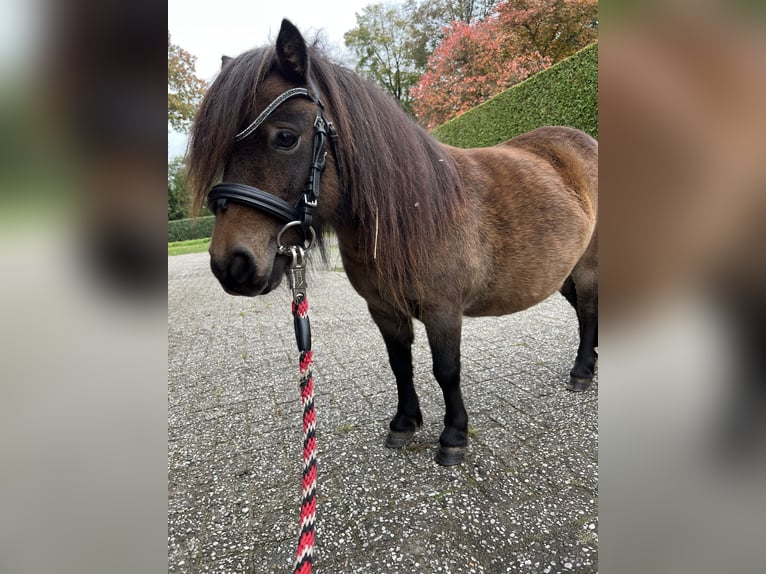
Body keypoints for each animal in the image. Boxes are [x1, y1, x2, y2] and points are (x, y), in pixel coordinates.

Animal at [188, 19, 600, 468]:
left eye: (284, 137)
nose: (231, 264)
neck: (410, 212)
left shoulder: (443, 310)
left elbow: (446, 370)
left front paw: (453, 435)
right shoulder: (384, 309)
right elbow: (400, 363)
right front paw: (404, 423)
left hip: (588, 267)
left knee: (588, 311)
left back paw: (582, 371)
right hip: (563, 273)